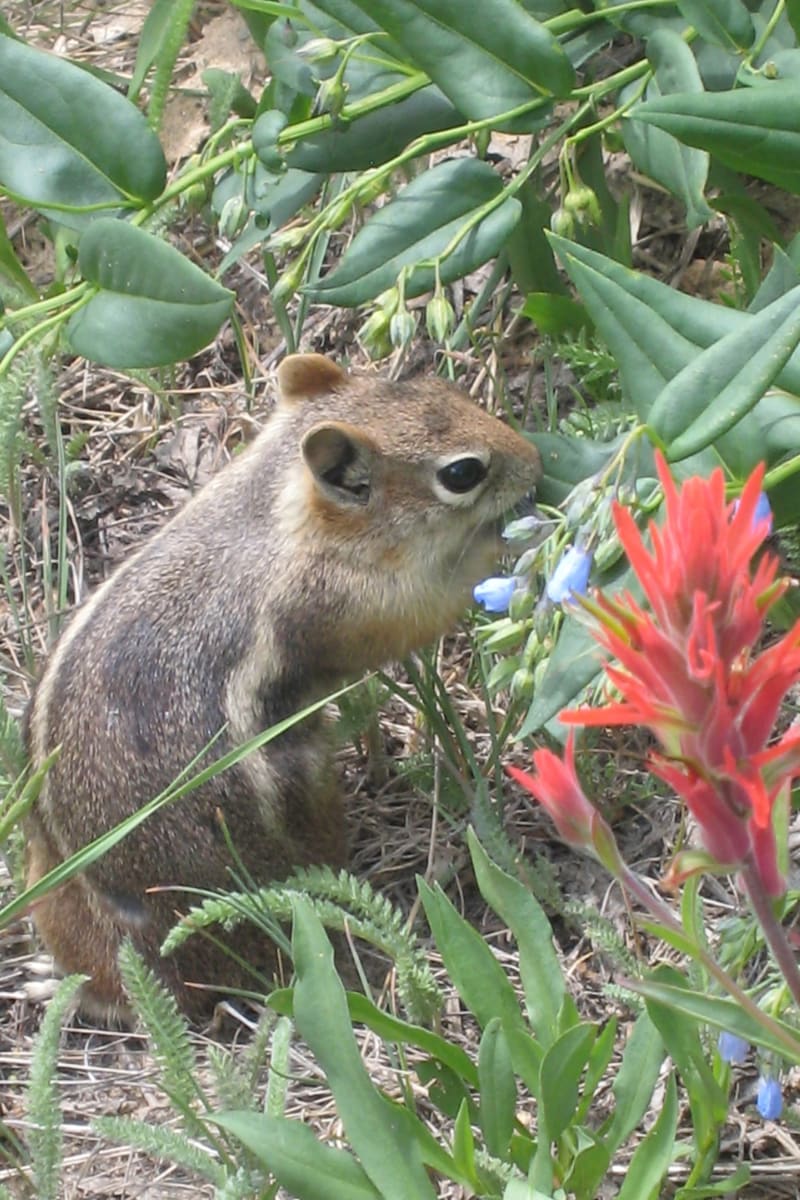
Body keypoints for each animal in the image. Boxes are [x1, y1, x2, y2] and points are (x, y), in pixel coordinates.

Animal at [23, 350, 544, 1017]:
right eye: (462, 473)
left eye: (436, 386)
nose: (534, 458)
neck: (272, 507)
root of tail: (158, 957)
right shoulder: (344, 606)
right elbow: (419, 615)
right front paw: (501, 545)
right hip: (304, 785)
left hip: (46, 889)